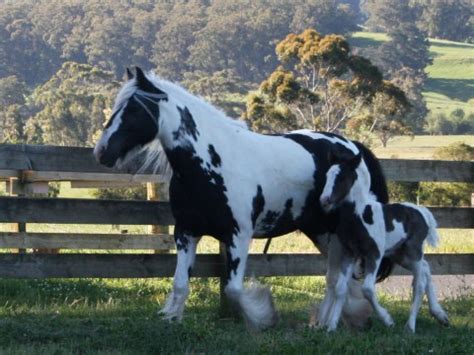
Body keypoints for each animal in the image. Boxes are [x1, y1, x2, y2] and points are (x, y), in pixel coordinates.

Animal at [94, 67, 390, 330]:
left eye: (133, 110)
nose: (101, 152)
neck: (212, 163)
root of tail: (354, 148)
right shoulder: (186, 233)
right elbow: (180, 283)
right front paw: (173, 320)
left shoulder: (238, 236)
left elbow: (234, 290)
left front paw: (262, 317)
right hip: (320, 233)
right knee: (334, 278)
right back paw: (327, 322)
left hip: (338, 235)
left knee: (341, 279)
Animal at [318, 154, 448, 334]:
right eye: (327, 176)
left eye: (342, 177)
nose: (324, 200)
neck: (359, 215)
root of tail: (422, 212)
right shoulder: (350, 253)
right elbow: (340, 288)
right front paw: (331, 326)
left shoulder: (374, 254)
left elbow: (367, 289)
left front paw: (388, 320)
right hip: (400, 255)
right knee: (426, 268)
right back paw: (439, 315)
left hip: (413, 251)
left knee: (419, 284)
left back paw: (410, 326)